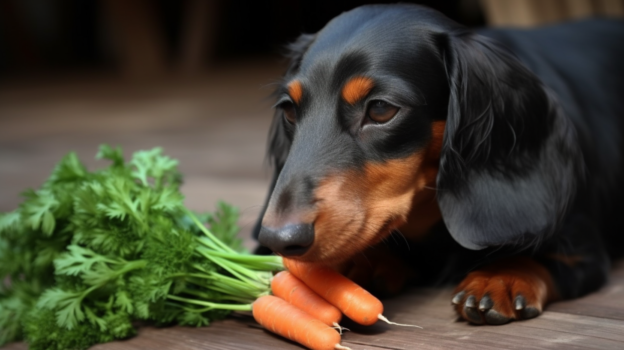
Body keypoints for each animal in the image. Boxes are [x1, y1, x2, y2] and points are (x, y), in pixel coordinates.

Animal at [252, 4, 624, 324]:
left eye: (381, 109)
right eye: (289, 110)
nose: (278, 238)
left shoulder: (583, 249)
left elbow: (535, 255)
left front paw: (499, 276)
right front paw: (359, 262)